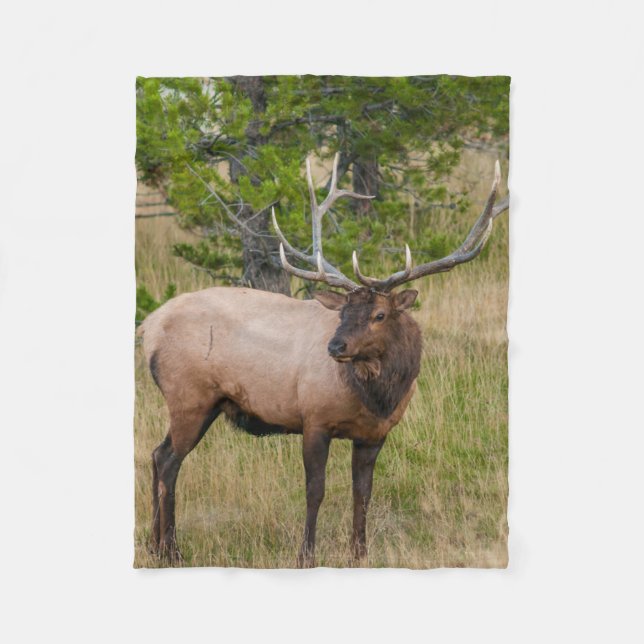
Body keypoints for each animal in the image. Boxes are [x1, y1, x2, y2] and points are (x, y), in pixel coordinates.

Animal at [137, 153, 509, 567]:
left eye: (379, 314)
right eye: (344, 310)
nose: (334, 347)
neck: (377, 398)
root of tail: (148, 328)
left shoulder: (375, 434)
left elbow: (363, 491)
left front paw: (359, 552)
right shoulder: (313, 419)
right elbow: (315, 489)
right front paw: (306, 554)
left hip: (205, 403)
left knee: (158, 455)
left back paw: (156, 546)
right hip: (190, 397)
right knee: (167, 461)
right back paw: (171, 550)